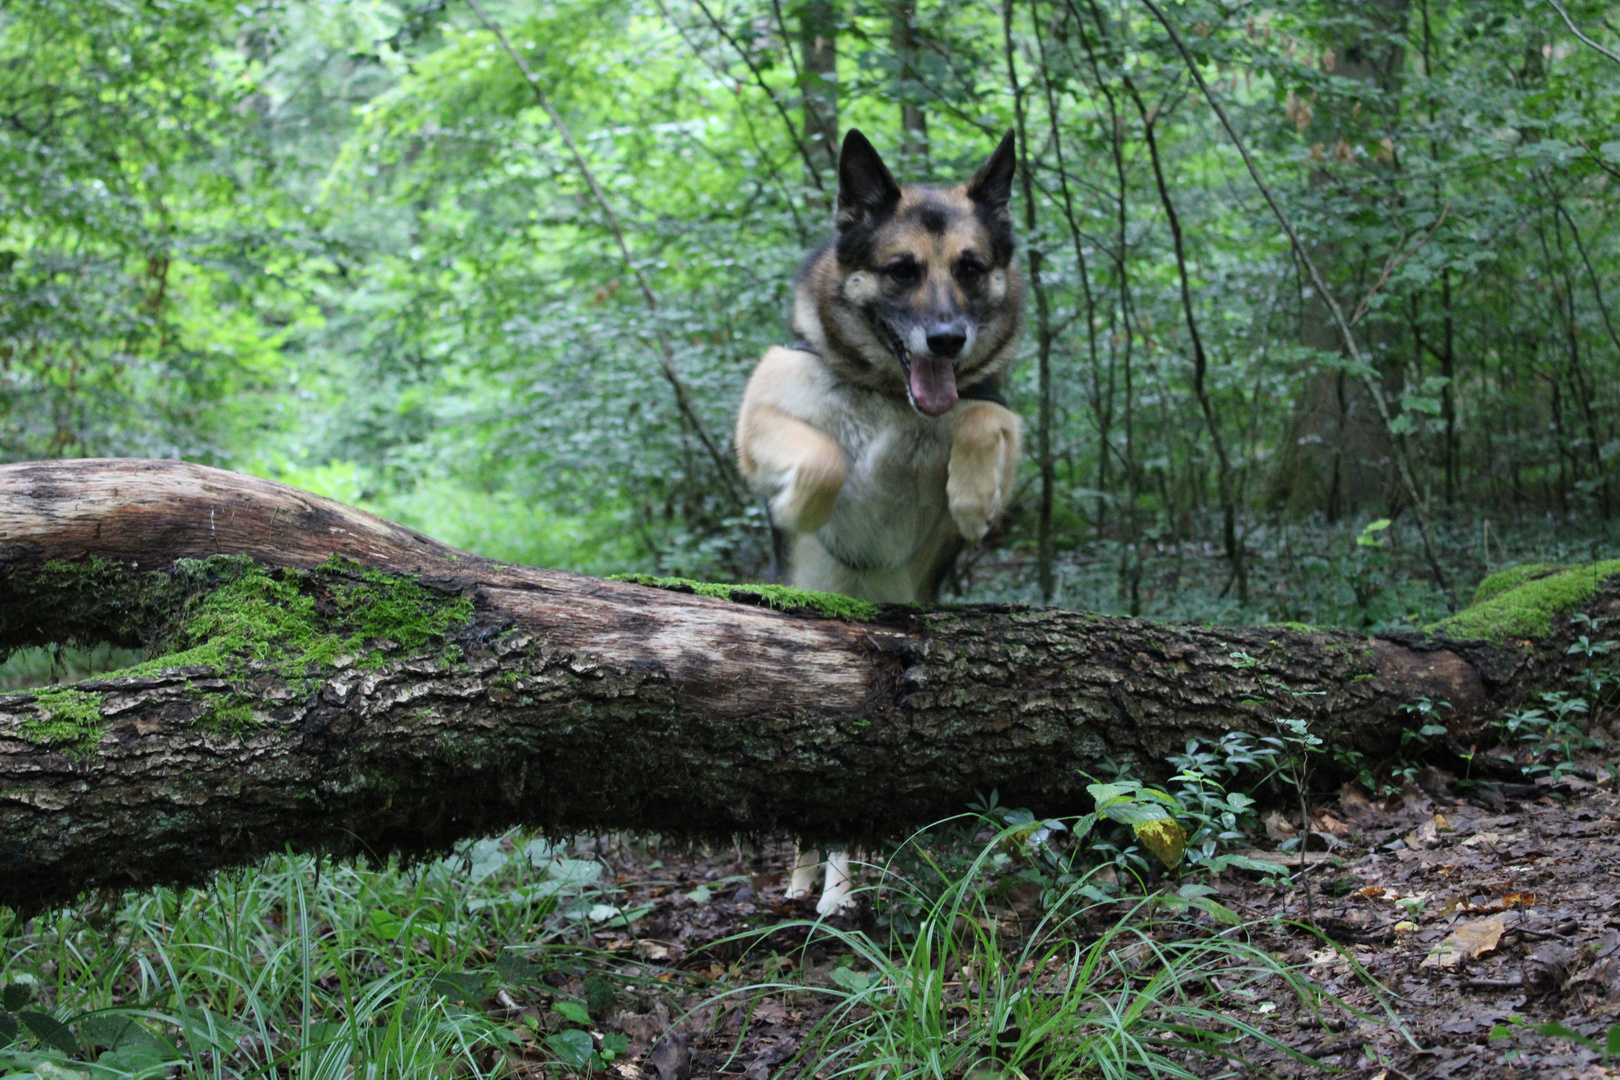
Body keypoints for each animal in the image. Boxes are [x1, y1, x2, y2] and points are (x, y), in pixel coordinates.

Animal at [738, 128, 1023, 913]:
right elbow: (825, 459)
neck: (895, 396)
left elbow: (982, 416)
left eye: (970, 268)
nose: (948, 340)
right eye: (901, 271)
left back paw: (842, 890)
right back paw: (807, 884)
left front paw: (974, 495)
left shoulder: (1001, 414)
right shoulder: (760, 414)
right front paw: (799, 506)